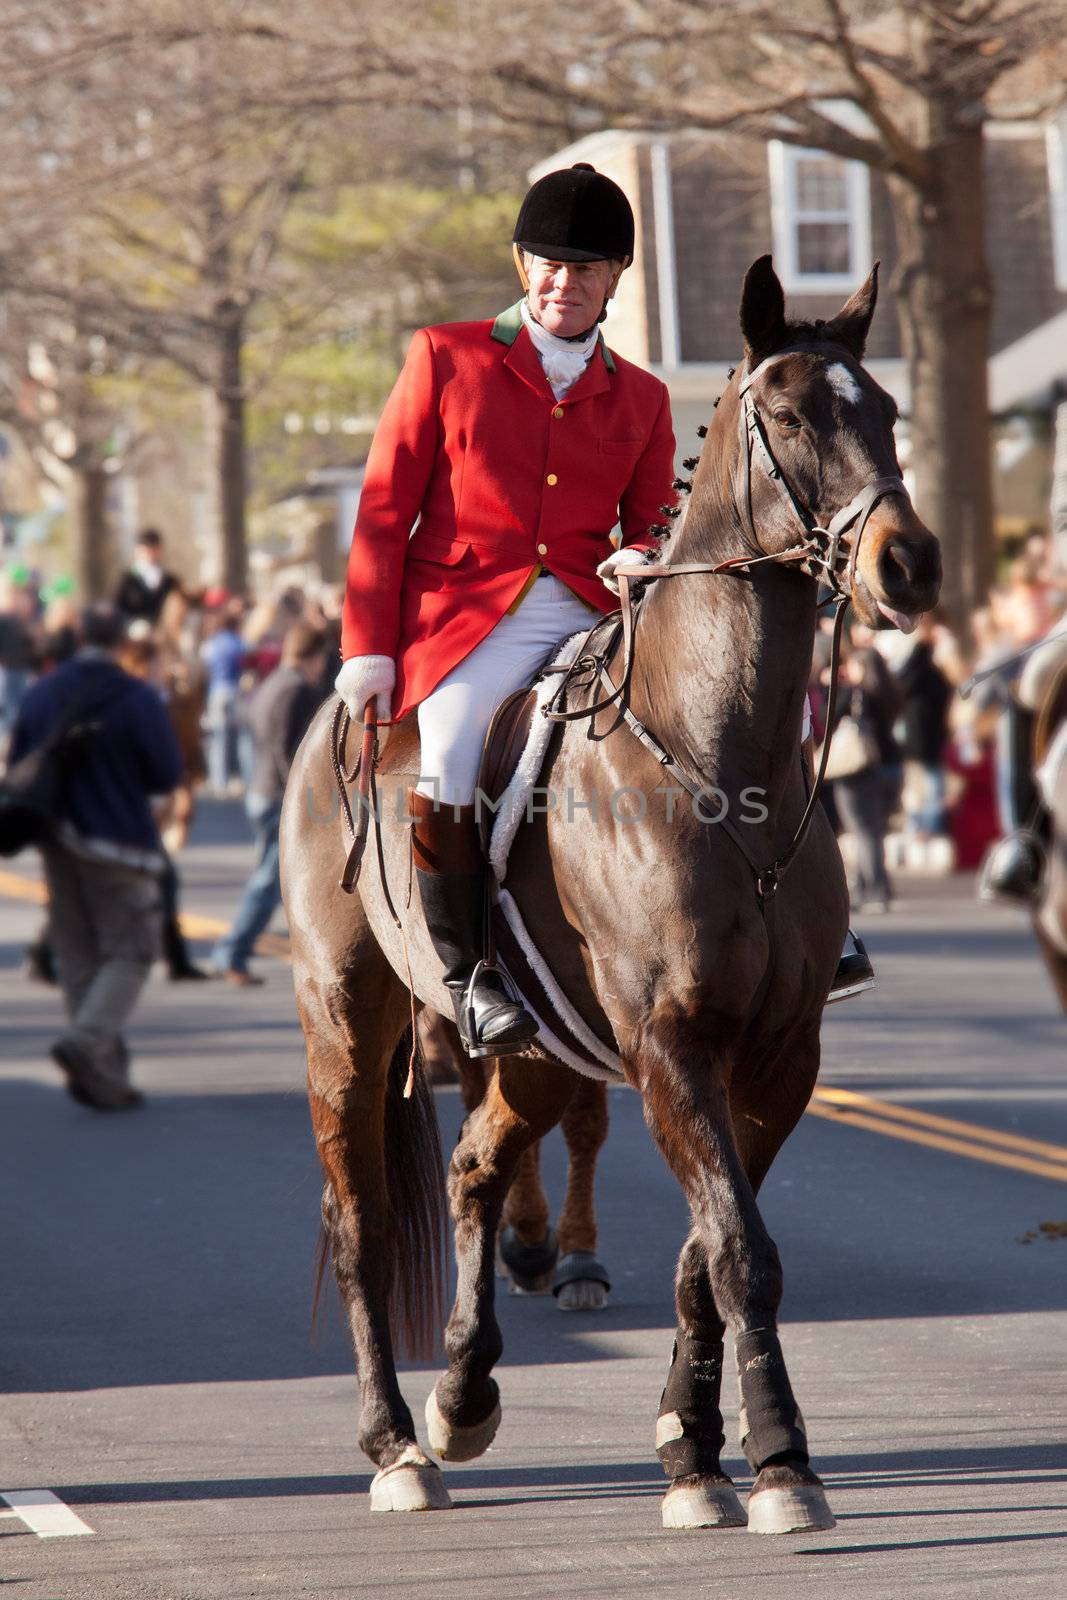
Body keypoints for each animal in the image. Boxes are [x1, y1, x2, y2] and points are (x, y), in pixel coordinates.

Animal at [281, 259, 940, 1536]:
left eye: (885, 408)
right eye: (788, 414)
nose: (908, 565)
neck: (719, 755)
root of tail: (332, 714)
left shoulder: (776, 1054)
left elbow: (705, 1251)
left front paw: (691, 1446)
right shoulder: (669, 1042)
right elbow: (737, 1248)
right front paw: (777, 1459)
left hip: (541, 1047)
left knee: (476, 1165)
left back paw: (465, 1393)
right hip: (347, 1017)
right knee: (361, 1220)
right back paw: (395, 1444)